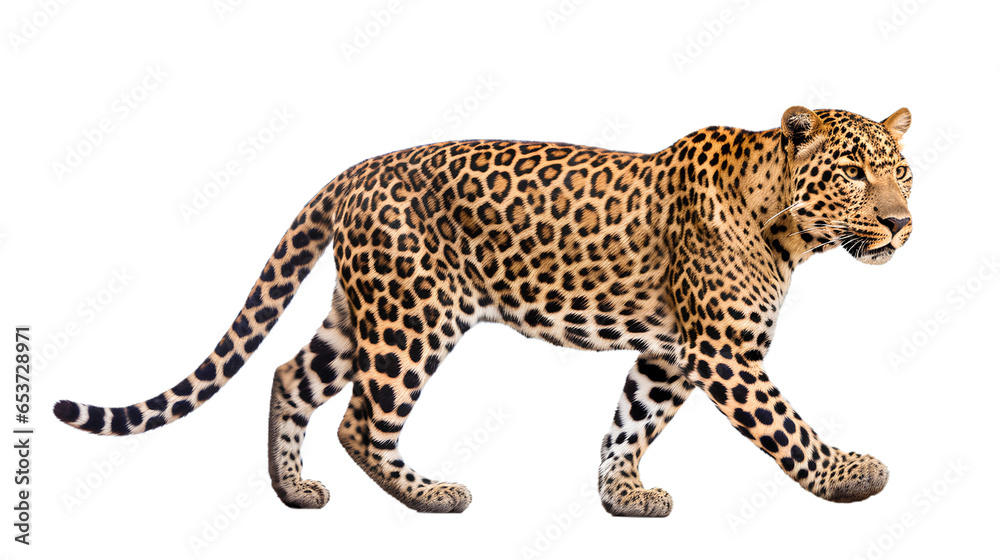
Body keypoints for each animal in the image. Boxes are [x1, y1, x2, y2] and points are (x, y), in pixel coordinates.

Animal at [54, 106, 914, 517]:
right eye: (853, 173)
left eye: (901, 171)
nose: (902, 222)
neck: (790, 228)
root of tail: (357, 170)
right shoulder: (723, 353)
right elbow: (786, 426)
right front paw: (847, 475)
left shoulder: (670, 353)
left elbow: (629, 422)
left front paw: (622, 497)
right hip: (414, 316)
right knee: (361, 422)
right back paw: (433, 495)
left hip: (360, 312)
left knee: (292, 374)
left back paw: (292, 491)